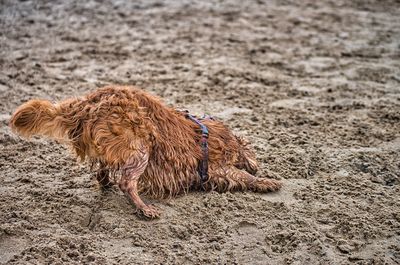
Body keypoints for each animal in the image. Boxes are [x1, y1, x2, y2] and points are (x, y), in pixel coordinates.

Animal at [7, 85, 282, 218]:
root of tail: (86, 103)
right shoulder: (214, 167)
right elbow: (242, 175)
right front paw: (265, 180)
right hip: (140, 145)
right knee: (127, 182)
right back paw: (143, 207)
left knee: (104, 170)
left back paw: (106, 181)